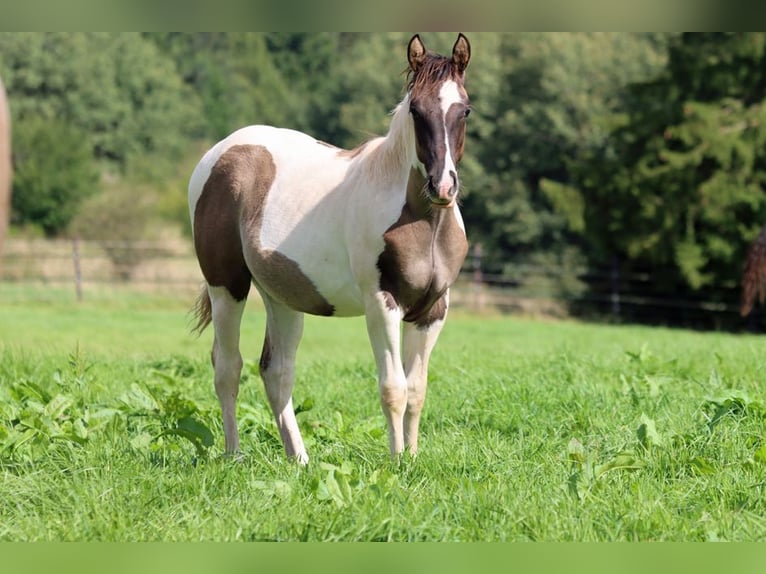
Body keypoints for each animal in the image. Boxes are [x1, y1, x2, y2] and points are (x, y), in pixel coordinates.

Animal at [189, 33, 472, 466]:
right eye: (416, 110)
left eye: (465, 110)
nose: (443, 186)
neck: (421, 221)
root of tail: (219, 153)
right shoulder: (382, 305)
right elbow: (393, 388)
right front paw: (396, 464)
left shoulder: (432, 311)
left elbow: (417, 390)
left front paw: (411, 458)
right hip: (227, 288)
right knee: (227, 367)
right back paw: (234, 455)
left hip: (282, 298)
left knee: (276, 372)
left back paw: (300, 461)